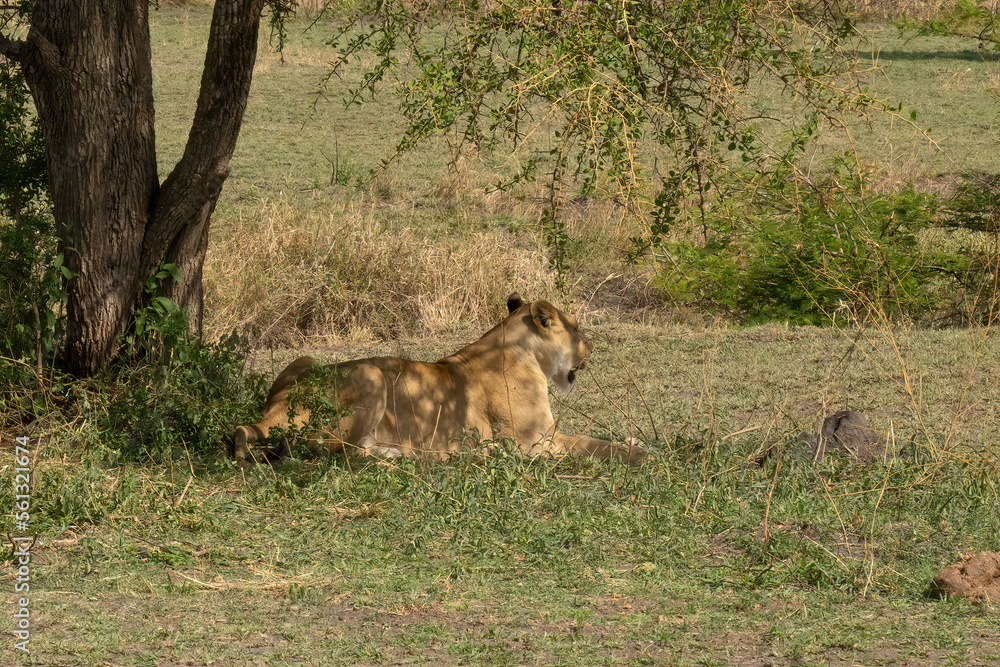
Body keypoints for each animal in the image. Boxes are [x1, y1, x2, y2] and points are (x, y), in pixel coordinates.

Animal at [232, 293, 644, 467]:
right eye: (577, 329)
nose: (592, 347)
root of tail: (277, 409)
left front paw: (636, 442)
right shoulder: (535, 443)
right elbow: (594, 445)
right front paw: (639, 453)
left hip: (305, 359)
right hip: (370, 374)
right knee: (341, 452)